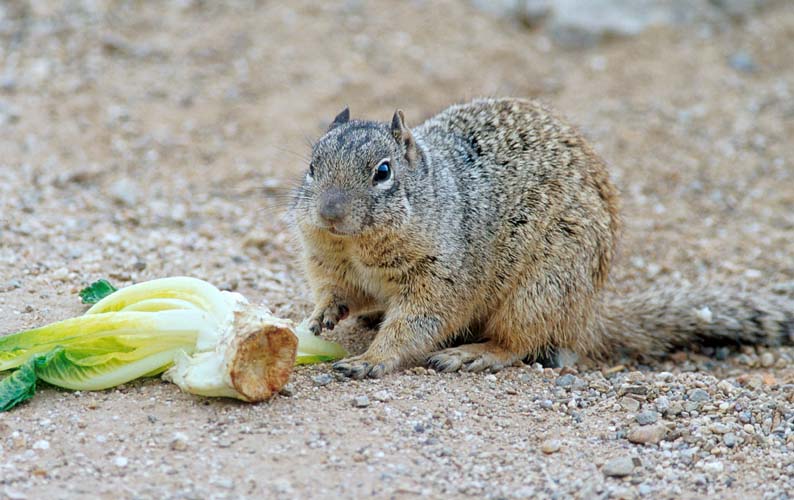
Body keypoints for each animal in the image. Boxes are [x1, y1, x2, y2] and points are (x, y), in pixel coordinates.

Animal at [290, 97, 792, 378]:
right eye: (312, 166)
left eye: (383, 172)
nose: (329, 212)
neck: (359, 248)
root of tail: (587, 315)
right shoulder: (329, 263)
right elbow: (339, 292)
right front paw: (321, 316)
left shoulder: (440, 277)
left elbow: (417, 323)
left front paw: (371, 359)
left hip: (539, 291)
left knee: (520, 345)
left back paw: (473, 354)